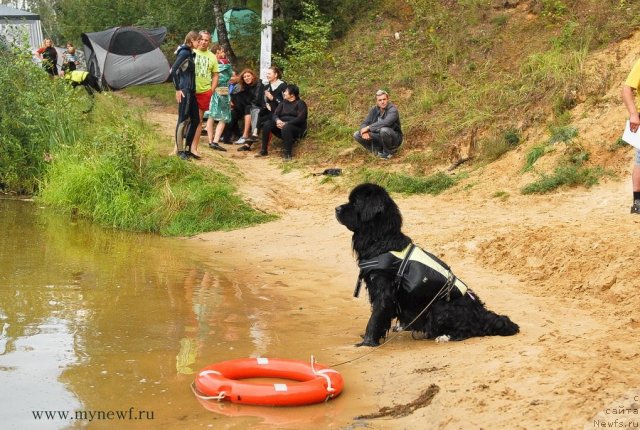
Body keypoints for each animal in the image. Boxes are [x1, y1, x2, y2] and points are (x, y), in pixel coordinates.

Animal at [336, 183, 520, 348]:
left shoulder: (384, 290)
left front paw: (367, 342)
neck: (380, 238)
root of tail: (481, 312)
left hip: (440, 306)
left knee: (469, 330)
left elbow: (375, 318)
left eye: (356, 202)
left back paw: (444, 336)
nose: (336, 209)